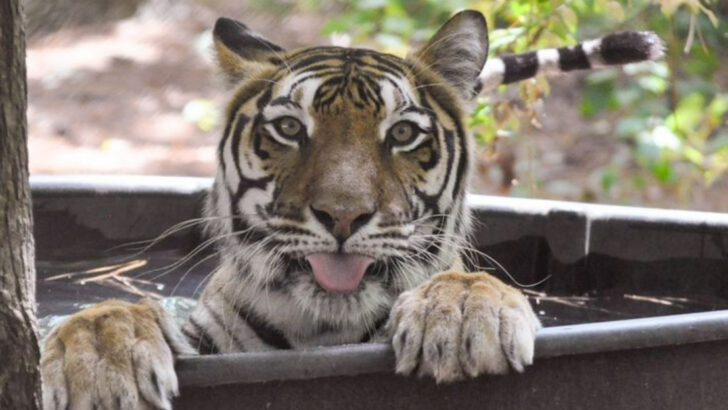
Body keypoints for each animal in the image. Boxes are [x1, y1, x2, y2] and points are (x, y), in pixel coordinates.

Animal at [40, 10, 663, 410]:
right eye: (290, 129)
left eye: (403, 134)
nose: (342, 217)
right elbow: (116, 313)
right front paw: (100, 356)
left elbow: (465, 282)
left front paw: (463, 315)